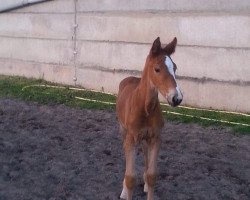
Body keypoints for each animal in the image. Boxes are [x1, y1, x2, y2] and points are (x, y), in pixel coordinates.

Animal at [116, 36, 183, 199]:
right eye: (157, 69)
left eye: (175, 68)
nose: (176, 98)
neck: (145, 108)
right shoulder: (131, 139)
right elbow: (130, 178)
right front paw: (126, 190)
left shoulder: (156, 138)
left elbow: (153, 176)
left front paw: (148, 181)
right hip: (123, 131)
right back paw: (123, 190)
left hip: (146, 138)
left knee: (145, 152)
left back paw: (145, 183)